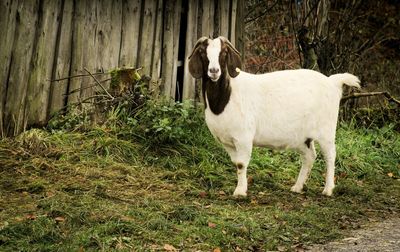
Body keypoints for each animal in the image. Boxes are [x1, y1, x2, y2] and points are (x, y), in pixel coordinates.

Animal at [188, 36, 360, 197]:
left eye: (224, 52)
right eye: (203, 52)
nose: (214, 71)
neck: (227, 97)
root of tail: (332, 82)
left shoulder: (243, 138)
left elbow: (241, 164)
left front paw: (240, 192)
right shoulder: (227, 142)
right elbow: (236, 163)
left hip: (326, 130)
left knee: (330, 156)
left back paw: (328, 189)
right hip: (302, 137)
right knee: (310, 156)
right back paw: (297, 187)